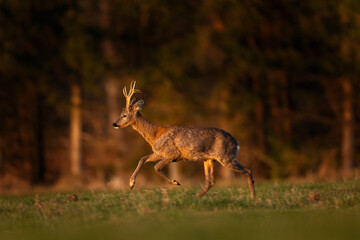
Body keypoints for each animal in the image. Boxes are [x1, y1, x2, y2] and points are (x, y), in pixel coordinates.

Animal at [112, 81, 256, 198]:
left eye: (124, 115)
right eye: (121, 114)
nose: (114, 124)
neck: (154, 134)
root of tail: (237, 143)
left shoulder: (172, 153)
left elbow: (156, 167)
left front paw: (175, 182)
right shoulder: (159, 152)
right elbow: (142, 159)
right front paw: (131, 183)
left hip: (225, 156)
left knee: (248, 171)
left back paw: (253, 197)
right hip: (209, 159)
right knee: (210, 181)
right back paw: (196, 197)